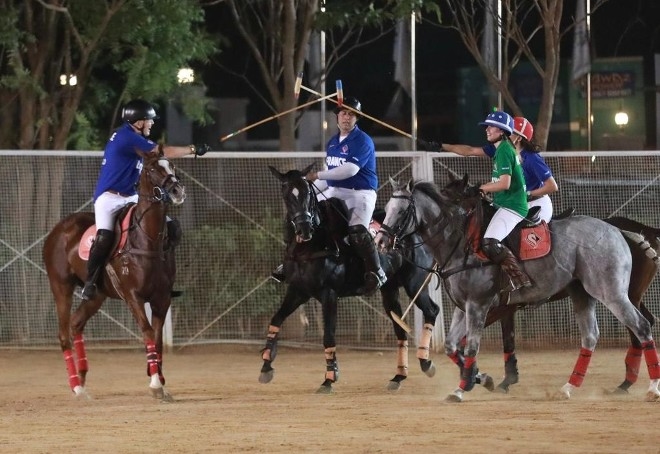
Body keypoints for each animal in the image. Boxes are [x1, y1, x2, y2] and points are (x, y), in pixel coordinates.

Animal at [42, 152, 184, 400]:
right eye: (152, 170)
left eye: (172, 166)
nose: (177, 191)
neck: (147, 239)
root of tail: (55, 231)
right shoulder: (133, 297)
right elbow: (147, 332)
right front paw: (155, 383)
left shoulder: (162, 298)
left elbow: (157, 338)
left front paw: (161, 381)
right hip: (61, 286)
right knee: (63, 333)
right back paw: (75, 386)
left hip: (97, 294)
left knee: (76, 323)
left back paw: (82, 379)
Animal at [262, 167, 454, 394]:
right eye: (286, 196)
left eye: (308, 194)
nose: (304, 229)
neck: (311, 246)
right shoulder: (298, 290)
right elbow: (276, 320)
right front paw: (266, 364)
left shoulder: (329, 294)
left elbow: (328, 335)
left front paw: (329, 377)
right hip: (389, 290)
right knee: (400, 327)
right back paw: (398, 376)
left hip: (414, 283)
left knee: (431, 310)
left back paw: (425, 361)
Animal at [374, 179, 660, 402]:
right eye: (386, 209)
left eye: (401, 211)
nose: (381, 242)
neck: (460, 244)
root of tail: (616, 229)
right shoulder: (462, 307)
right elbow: (452, 346)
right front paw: (481, 378)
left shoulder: (479, 305)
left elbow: (471, 346)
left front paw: (462, 388)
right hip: (582, 293)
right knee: (590, 336)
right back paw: (569, 387)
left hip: (612, 292)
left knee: (641, 326)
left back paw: (650, 388)